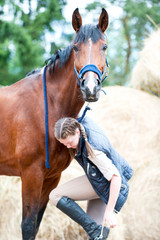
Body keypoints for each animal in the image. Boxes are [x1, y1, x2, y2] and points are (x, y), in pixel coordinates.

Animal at [0, 7, 109, 240]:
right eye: (76, 47)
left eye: (104, 46)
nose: (90, 88)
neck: (48, 106)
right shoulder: (31, 175)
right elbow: (28, 226)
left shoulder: (51, 178)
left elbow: (36, 225)